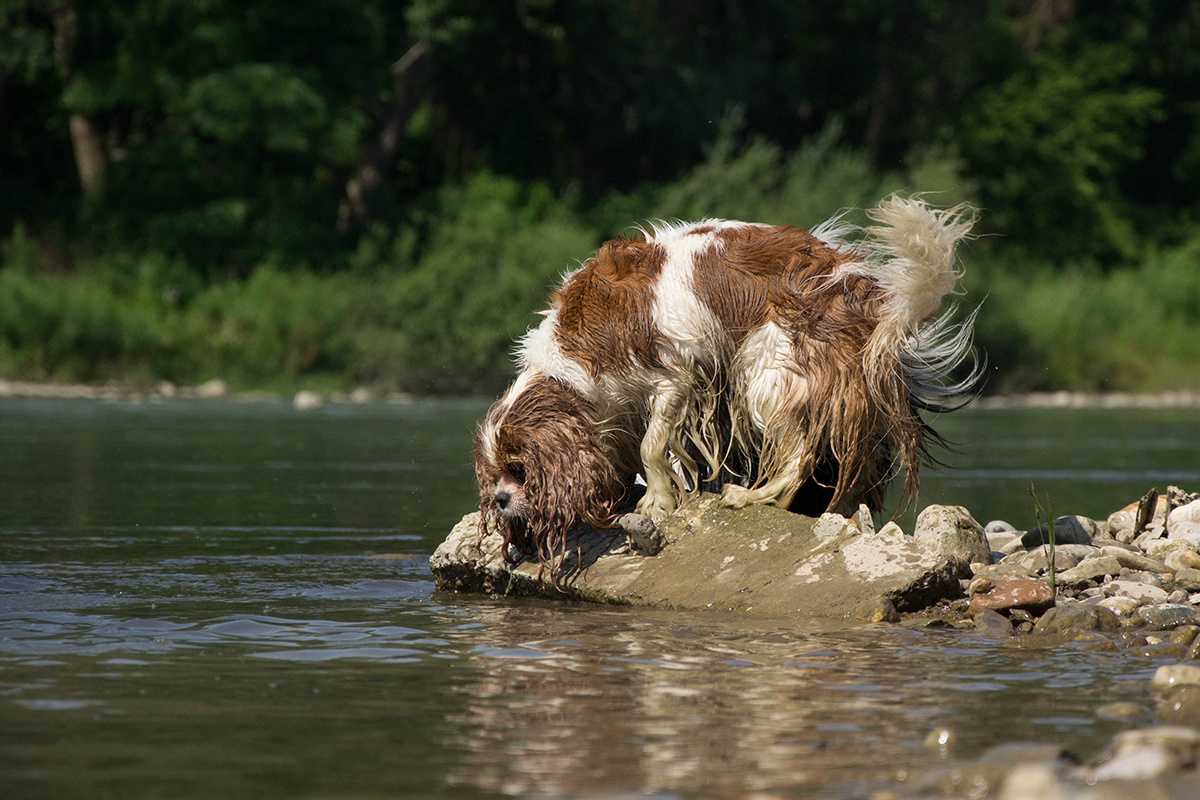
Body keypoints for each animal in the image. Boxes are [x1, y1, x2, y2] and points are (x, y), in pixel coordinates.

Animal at [472, 194, 979, 573]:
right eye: (495, 477)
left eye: (520, 471)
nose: (500, 500)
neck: (573, 355)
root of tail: (869, 300)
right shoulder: (624, 405)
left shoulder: (675, 378)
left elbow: (652, 446)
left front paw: (657, 501)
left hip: (768, 370)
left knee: (798, 454)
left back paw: (752, 495)